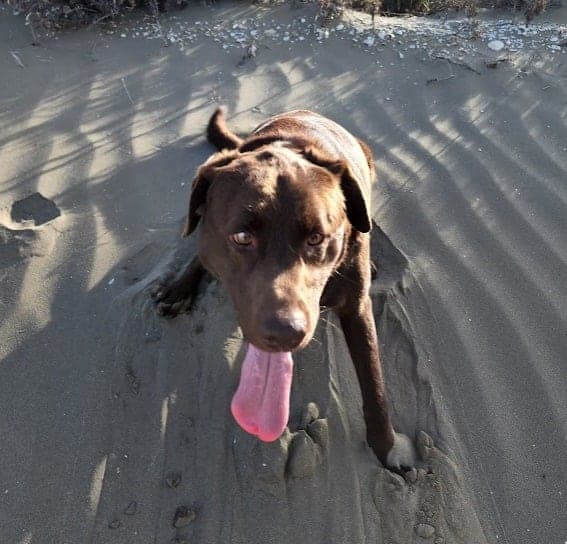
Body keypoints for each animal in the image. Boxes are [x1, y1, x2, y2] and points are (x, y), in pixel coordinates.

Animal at [153, 108, 414, 470]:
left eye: (317, 238)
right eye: (242, 237)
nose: (285, 333)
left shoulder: (357, 308)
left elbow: (374, 384)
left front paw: (387, 448)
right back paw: (179, 288)